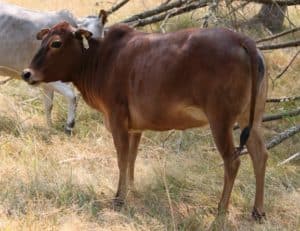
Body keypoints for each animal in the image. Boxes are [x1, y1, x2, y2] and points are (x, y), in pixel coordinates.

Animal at [22, 21, 268, 220]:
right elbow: (132, 158)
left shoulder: (117, 119)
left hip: (221, 120)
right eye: (43, 40)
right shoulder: (135, 127)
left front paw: (119, 198)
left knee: (232, 161)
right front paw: (131, 190)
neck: (101, 60)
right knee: (260, 155)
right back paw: (258, 212)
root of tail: (242, 39)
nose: (27, 73)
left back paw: (221, 211)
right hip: (252, 120)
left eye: (56, 43)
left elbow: (122, 159)